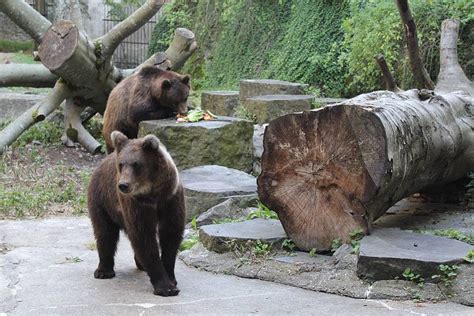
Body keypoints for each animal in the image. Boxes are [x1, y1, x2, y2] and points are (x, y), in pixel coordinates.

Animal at [87, 131, 185, 296]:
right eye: (121, 164)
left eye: (136, 164)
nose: (123, 185)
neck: (152, 194)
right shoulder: (136, 204)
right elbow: (143, 236)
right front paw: (165, 286)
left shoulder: (170, 198)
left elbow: (171, 234)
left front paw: (171, 279)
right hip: (102, 199)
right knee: (105, 232)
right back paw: (103, 271)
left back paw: (140, 264)